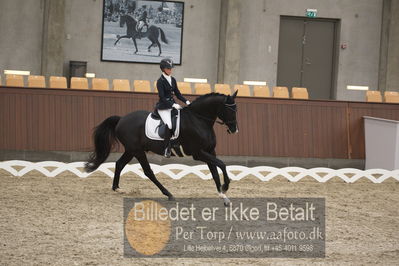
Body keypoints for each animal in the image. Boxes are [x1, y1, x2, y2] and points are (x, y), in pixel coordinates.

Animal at [85, 92, 238, 206]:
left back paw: (117, 189)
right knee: (148, 172)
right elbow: (222, 164)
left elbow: (215, 172)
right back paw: (168, 194)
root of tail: (121, 119)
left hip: (131, 150)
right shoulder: (198, 153)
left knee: (119, 164)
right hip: (137, 151)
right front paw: (225, 186)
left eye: (236, 109)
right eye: (230, 110)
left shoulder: (210, 151)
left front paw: (223, 196)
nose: (234, 130)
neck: (198, 120)